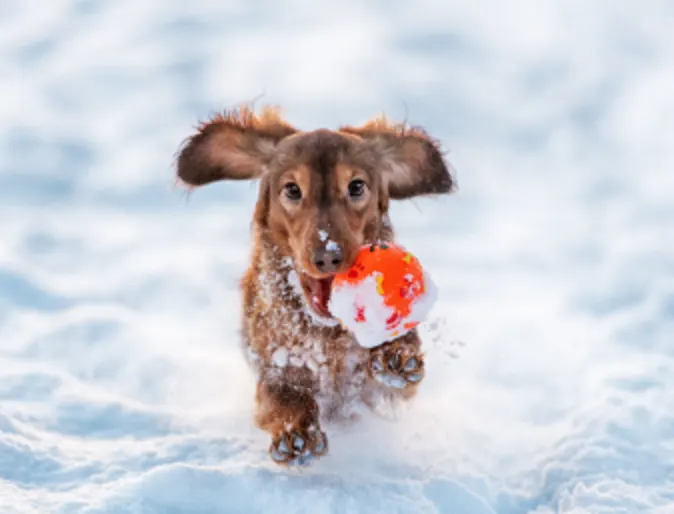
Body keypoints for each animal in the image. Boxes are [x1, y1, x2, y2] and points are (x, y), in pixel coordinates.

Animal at [176, 105, 454, 464]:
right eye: (292, 190)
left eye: (356, 186)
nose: (328, 256)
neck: (326, 334)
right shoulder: (274, 364)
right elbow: (283, 395)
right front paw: (296, 433)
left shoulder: (384, 394)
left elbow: (400, 367)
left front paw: (396, 355)